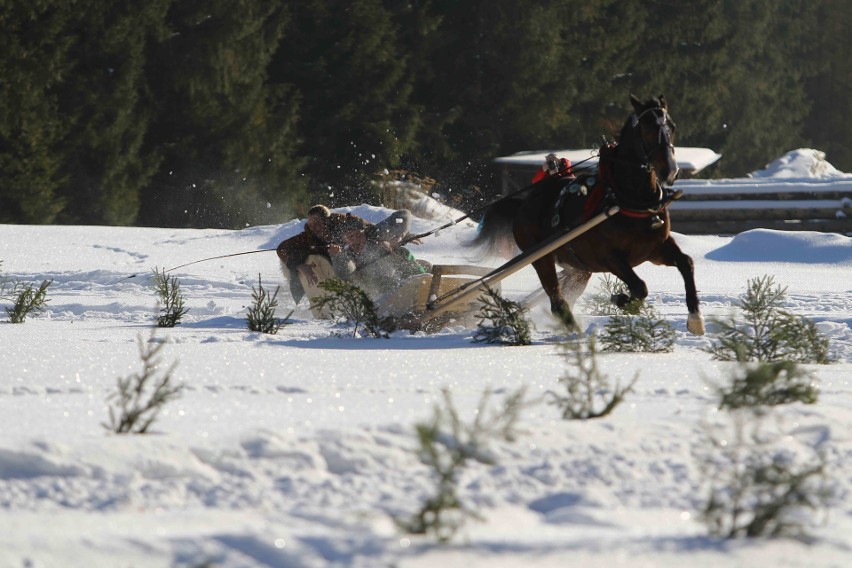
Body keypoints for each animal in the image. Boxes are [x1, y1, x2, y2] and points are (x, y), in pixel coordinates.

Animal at [472, 95, 704, 336]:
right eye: (647, 127)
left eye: (672, 126)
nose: (670, 171)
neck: (629, 201)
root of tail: (523, 202)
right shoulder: (610, 258)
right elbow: (639, 287)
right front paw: (620, 299)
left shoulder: (656, 248)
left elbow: (686, 263)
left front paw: (695, 319)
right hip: (541, 258)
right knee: (556, 299)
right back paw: (572, 328)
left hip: (577, 267)